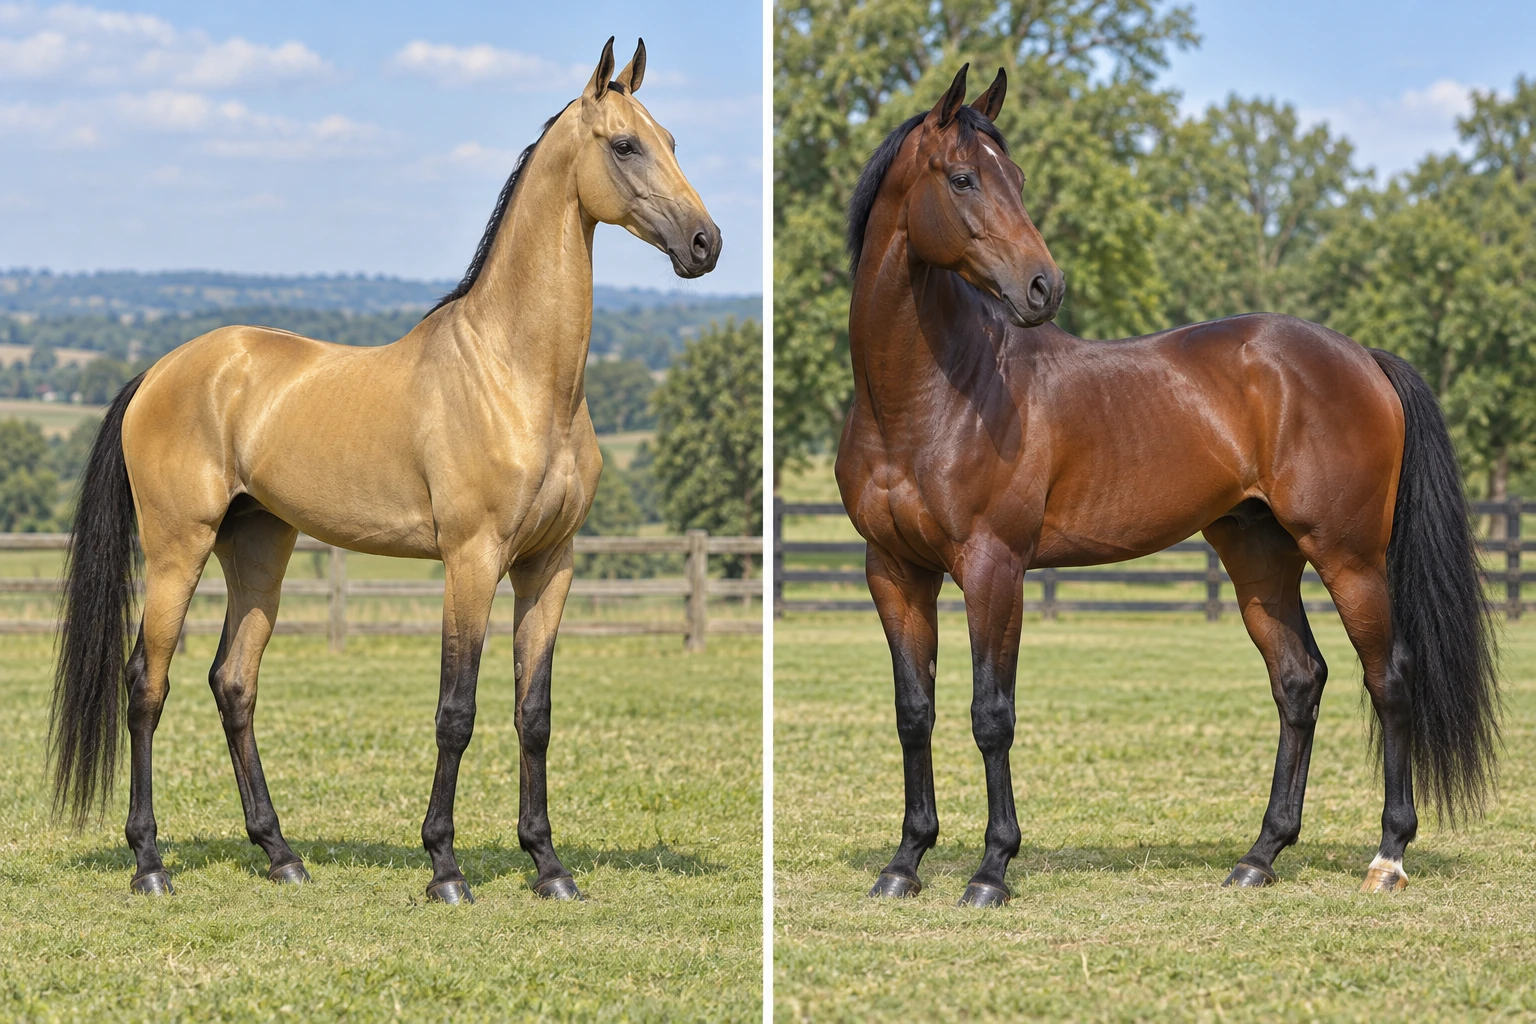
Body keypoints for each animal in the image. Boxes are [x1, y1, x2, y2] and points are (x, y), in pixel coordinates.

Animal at [49, 37, 722, 904]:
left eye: (670, 138)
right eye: (626, 144)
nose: (706, 243)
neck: (515, 373)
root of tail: (160, 371)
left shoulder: (550, 564)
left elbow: (532, 713)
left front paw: (548, 865)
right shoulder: (471, 560)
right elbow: (455, 712)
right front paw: (445, 868)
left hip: (258, 549)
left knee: (234, 683)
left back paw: (282, 855)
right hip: (177, 549)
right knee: (146, 685)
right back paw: (150, 863)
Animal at [835, 63, 1498, 907]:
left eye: (1015, 178)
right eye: (962, 178)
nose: (1043, 287)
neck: (931, 396)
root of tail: (1361, 357)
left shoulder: (994, 568)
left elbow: (992, 714)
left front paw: (991, 870)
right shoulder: (893, 572)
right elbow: (913, 711)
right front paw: (905, 862)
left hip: (1350, 558)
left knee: (1390, 680)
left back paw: (1388, 856)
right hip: (1257, 555)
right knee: (1299, 681)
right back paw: (1259, 856)